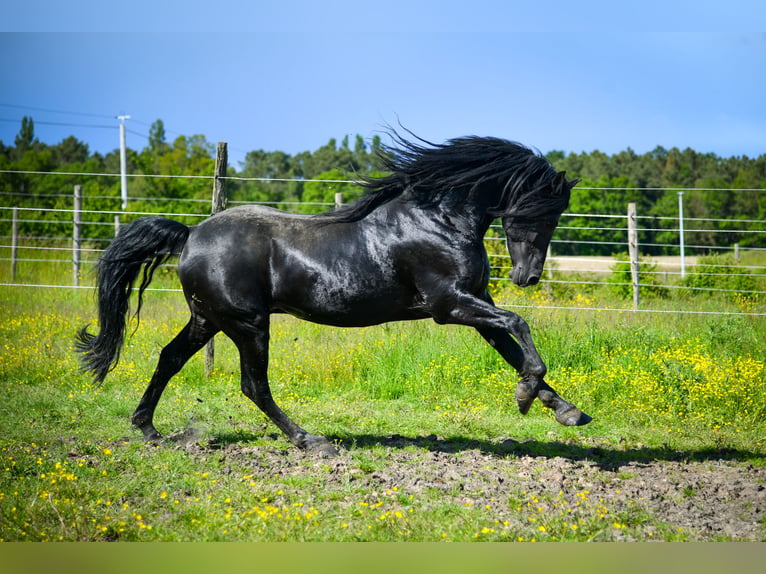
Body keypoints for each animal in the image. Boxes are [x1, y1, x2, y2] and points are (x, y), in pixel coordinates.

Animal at [76, 133, 588, 456]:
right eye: (540, 212)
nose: (528, 277)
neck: (437, 221)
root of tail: (190, 235)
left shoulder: (475, 304)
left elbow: (511, 348)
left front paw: (565, 410)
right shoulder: (450, 305)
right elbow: (520, 325)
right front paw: (527, 397)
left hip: (209, 320)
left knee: (169, 358)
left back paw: (149, 430)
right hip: (247, 324)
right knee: (253, 385)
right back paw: (311, 440)